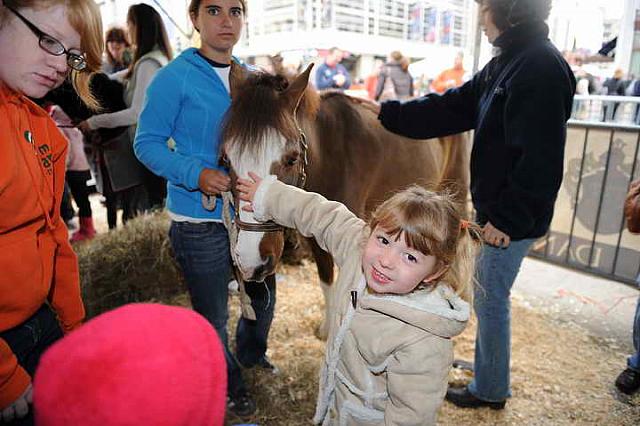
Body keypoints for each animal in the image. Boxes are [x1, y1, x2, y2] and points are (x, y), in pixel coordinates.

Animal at [222, 65, 468, 340]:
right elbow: (326, 278)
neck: (330, 154)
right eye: (226, 160)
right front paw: (326, 328)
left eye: (291, 158)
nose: (251, 262)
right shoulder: (316, 235)